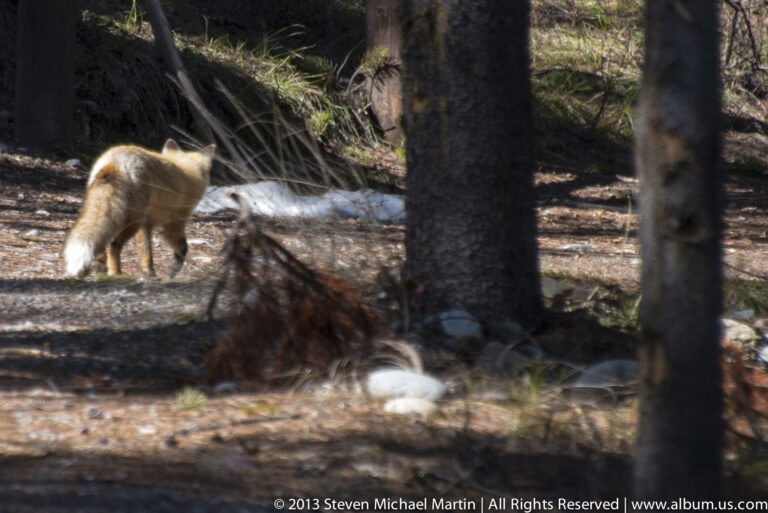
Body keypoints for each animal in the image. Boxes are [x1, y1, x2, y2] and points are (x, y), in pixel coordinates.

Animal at [63, 139, 216, 278]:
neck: (186, 171)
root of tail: (116, 161)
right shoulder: (174, 223)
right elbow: (183, 249)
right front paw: (172, 272)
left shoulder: (147, 223)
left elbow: (146, 252)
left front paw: (149, 273)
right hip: (133, 220)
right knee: (114, 245)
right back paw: (115, 273)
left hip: (121, 216)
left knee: (102, 243)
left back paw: (101, 268)